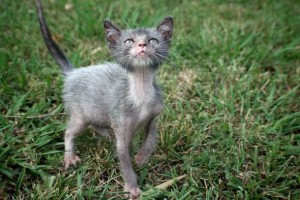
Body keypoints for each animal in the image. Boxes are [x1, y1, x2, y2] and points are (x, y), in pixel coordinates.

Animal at [34, 0, 173, 198]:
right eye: (129, 41)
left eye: (153, 40)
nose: (142, 44)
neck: (141, 92)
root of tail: (73, 73)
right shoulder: (121, 127)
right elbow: (124, 159)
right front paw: (132, 188)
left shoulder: (153, 116)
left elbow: (151, 138)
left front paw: (141, 157)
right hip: (80, 114)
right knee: (69, 132)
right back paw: (69, 156)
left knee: (96, 124)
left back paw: (106, 135)